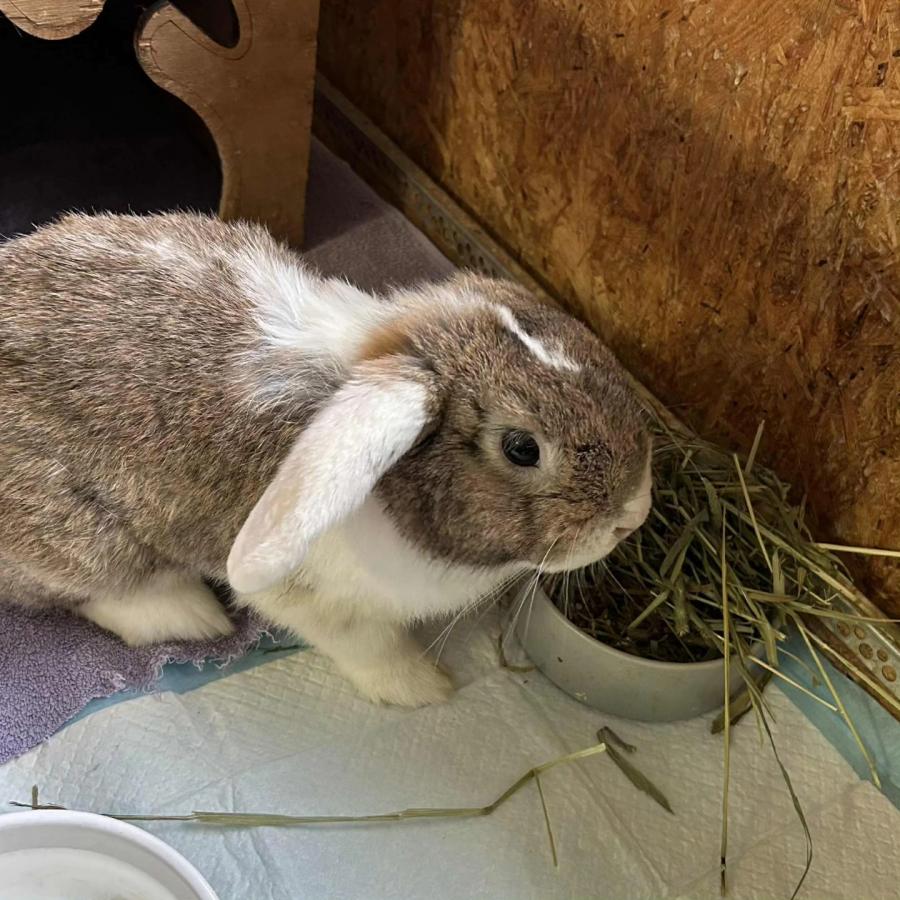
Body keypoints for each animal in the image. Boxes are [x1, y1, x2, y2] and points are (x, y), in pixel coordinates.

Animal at [0, 212, 652, 707]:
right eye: (522, 448)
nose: (636, 514)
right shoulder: (310, 597)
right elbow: (368, 645)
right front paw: (424, 688)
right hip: (77, 537)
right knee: (99, 591)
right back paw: (193, 616)